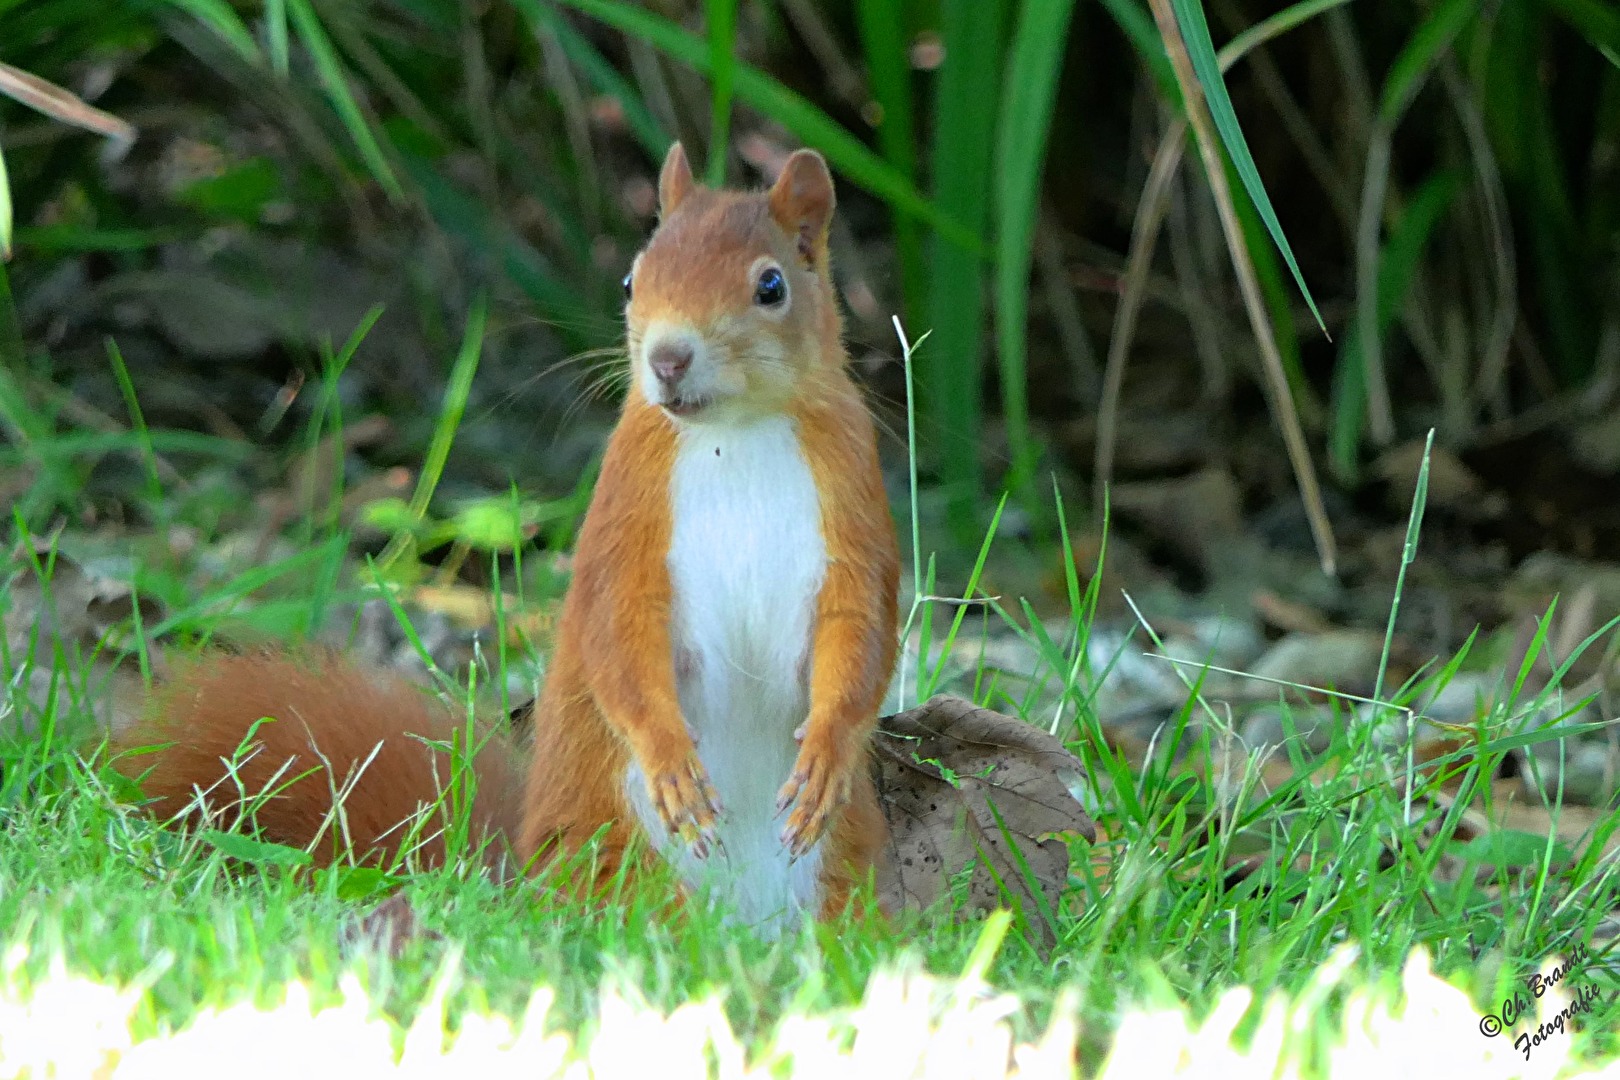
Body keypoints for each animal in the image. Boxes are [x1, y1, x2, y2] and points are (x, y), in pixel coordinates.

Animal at [123, 143, 913, 932]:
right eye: (633, 280)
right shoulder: (627, 511)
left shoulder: (853, 499)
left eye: (771, 286)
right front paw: (670, 760)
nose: (668, 359)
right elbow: (619, 632)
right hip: (615, 852)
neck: (734, 434)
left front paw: (827, 753)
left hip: (841, 871)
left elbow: (860, 631)